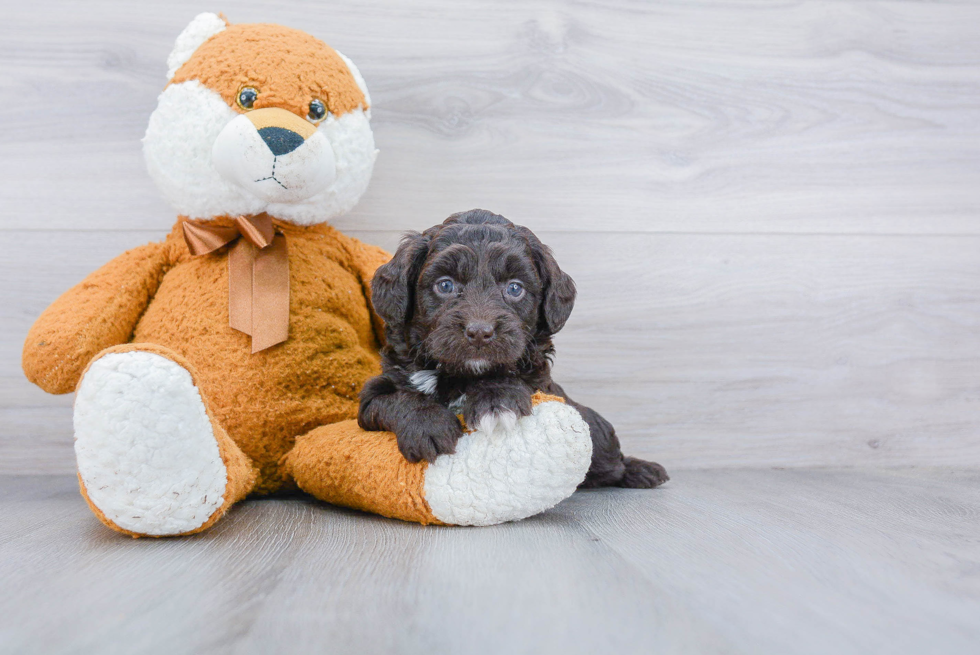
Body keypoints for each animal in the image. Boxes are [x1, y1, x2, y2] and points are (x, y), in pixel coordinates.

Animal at [356, 208, 668, 490]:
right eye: (445, 285)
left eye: (515, 288)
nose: (479, 332)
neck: (457, 375)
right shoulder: (371, 397)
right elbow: (397, 398)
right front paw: (429, 425)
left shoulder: (541, 381)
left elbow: (511, 373)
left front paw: (496, 400)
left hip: (598, 434)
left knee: (611, 460)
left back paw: (642, 470)